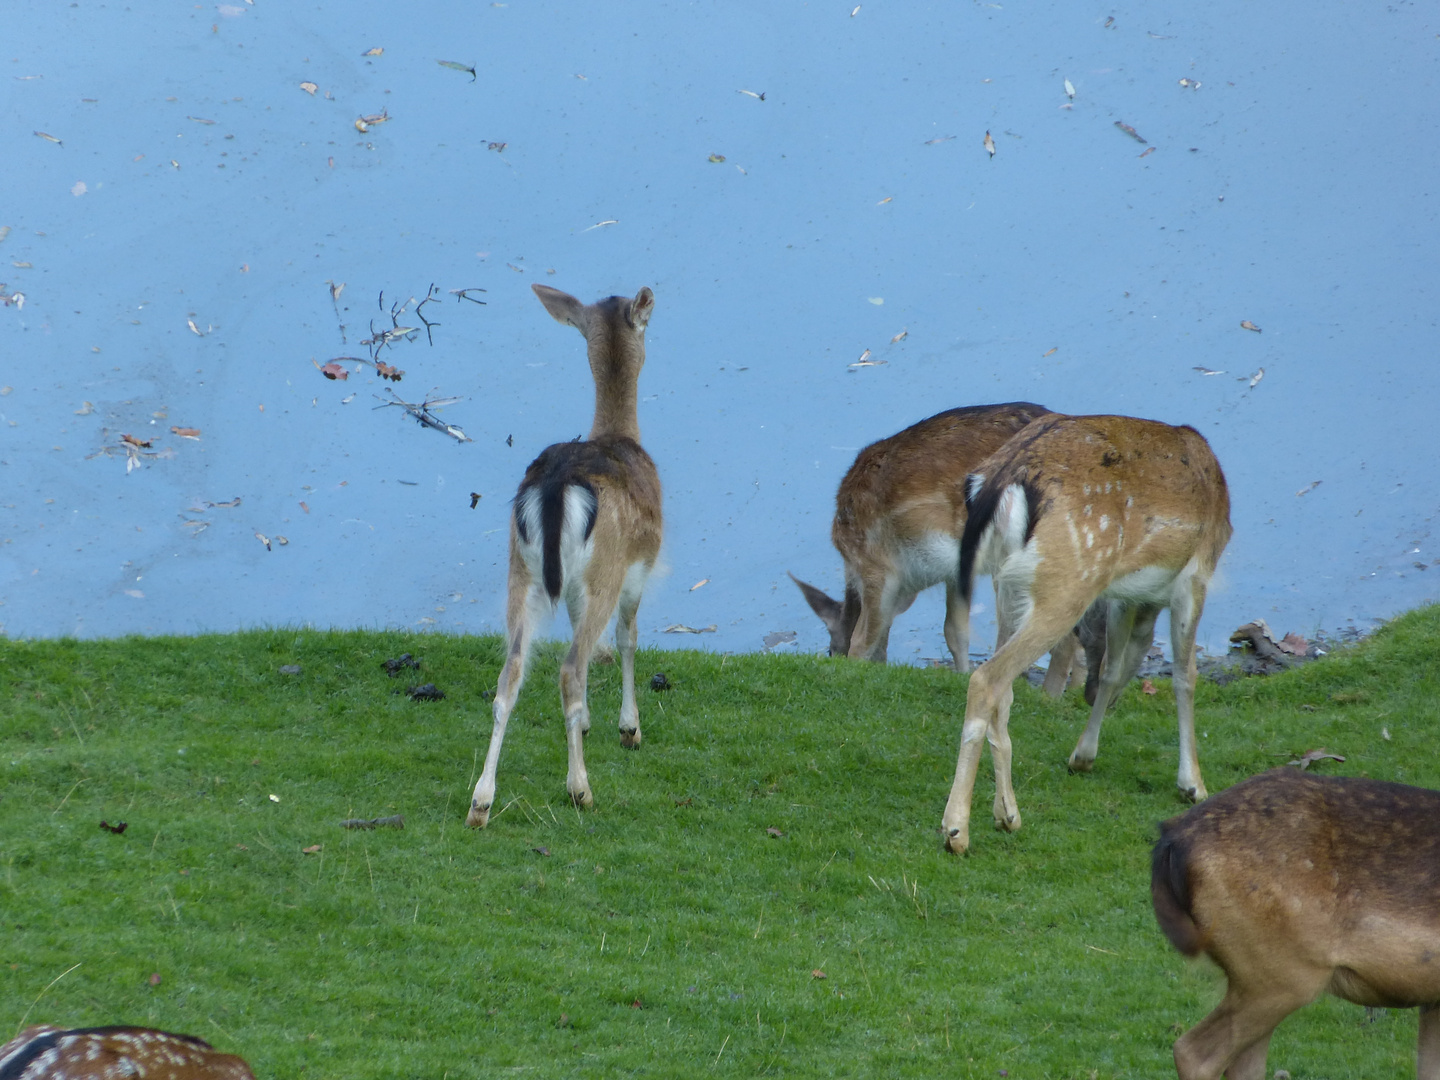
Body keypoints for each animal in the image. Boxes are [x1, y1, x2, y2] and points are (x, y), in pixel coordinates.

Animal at [463, 285, 659, 829]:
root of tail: (553, 490)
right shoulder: (639, 568)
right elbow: (627, 639)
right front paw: (628, 728)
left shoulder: (571, 584)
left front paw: (590, 722)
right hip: (604, 571)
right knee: (570, 666)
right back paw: (581, 790)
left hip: (520, 569)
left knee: (510, 672)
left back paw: (480, 802)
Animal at [789, 403, 1088, 694]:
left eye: (830, 651)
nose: (832, 656)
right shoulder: (953, 572)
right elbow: (954, 631)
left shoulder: (876, 567)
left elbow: (863, 641)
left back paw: (1049, 697)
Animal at [938, 414, 1232, 852]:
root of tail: (1002, 478)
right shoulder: (1196, 575)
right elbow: (1185, 675)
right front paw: (1192, 784)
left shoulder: (1123, 594)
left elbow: (1111, 667)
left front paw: (1083, 755)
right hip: (1071, 579)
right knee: (986, 679)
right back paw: (956, 831)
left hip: (1010, 584)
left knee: (1005, 689)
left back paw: (1008, 814)